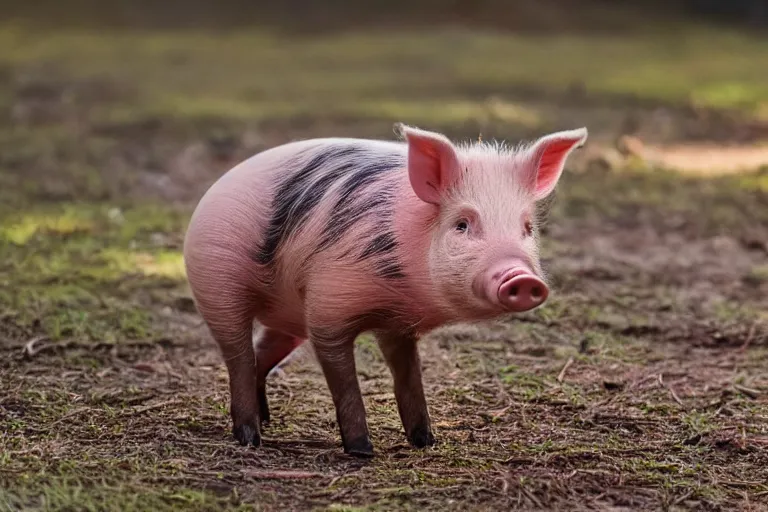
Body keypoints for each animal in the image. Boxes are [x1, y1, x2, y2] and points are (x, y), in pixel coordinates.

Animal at [184, 123, 588, 456]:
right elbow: (342, 376)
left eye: (527, 228)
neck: (400, 292)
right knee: (238, 355)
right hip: (216, 285)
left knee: (262, 351)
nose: (522, 278)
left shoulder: (399, 324)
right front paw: (363, 451)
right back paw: (251, 437)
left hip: (287, 315)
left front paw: (426, 441)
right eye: (462, 224)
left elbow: (409, 376)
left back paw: (267, 419)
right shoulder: (328, 302)